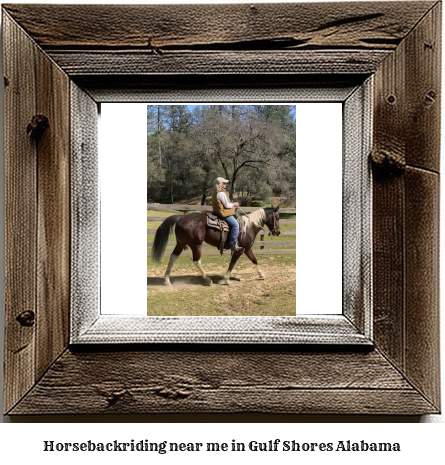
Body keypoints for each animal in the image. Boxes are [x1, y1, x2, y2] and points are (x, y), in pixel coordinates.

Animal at [151, 205, 280, 284]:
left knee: (173, 257)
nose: (278, 232)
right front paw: (225, 279)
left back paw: (167, 280)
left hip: (181, 243)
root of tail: (180, 217)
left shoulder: (246, 249)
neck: (249, 227)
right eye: (277, 217)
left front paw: (261, 274)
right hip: (196, 244)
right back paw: (207, 280)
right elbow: (234, 263)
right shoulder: (242, 249)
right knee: (196, 261)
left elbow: (254, 260)